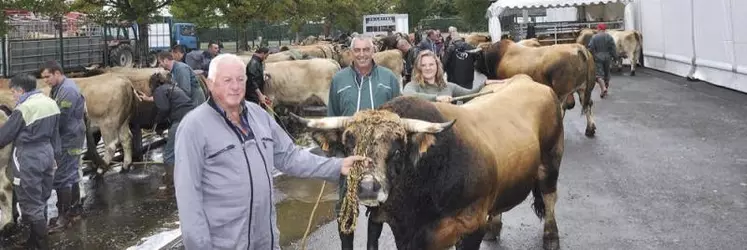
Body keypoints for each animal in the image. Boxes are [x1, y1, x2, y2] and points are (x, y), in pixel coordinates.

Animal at [296, 74, 564, 250]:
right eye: (349, 147)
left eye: (397, 151)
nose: (367, 187)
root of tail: (527, 80)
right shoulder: (404, 232)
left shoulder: (470, 226)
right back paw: (494, 228)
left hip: (551, 159)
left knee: (550, 195)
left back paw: (551, 236)